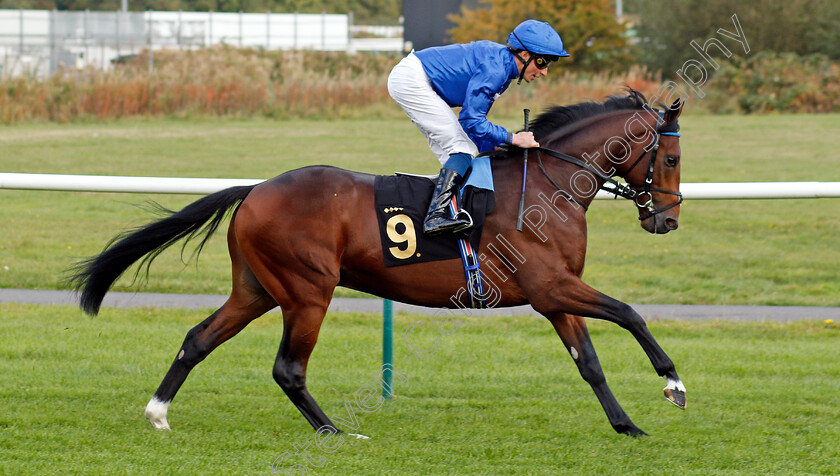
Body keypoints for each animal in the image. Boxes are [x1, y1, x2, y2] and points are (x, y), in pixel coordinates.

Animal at [72, 88, 684, 436]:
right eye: (673, 158)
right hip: (307, 291)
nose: (668, 220)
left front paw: (626, 425)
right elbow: (630, 313)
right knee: (288, 368)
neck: (549, 186)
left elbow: (590, 362)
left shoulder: (556, 295)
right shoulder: (550, 286)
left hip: (257, 289)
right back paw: (336, 432)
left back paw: (158, 412)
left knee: (199, 338)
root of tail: (255, 190)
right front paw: (672, 384)